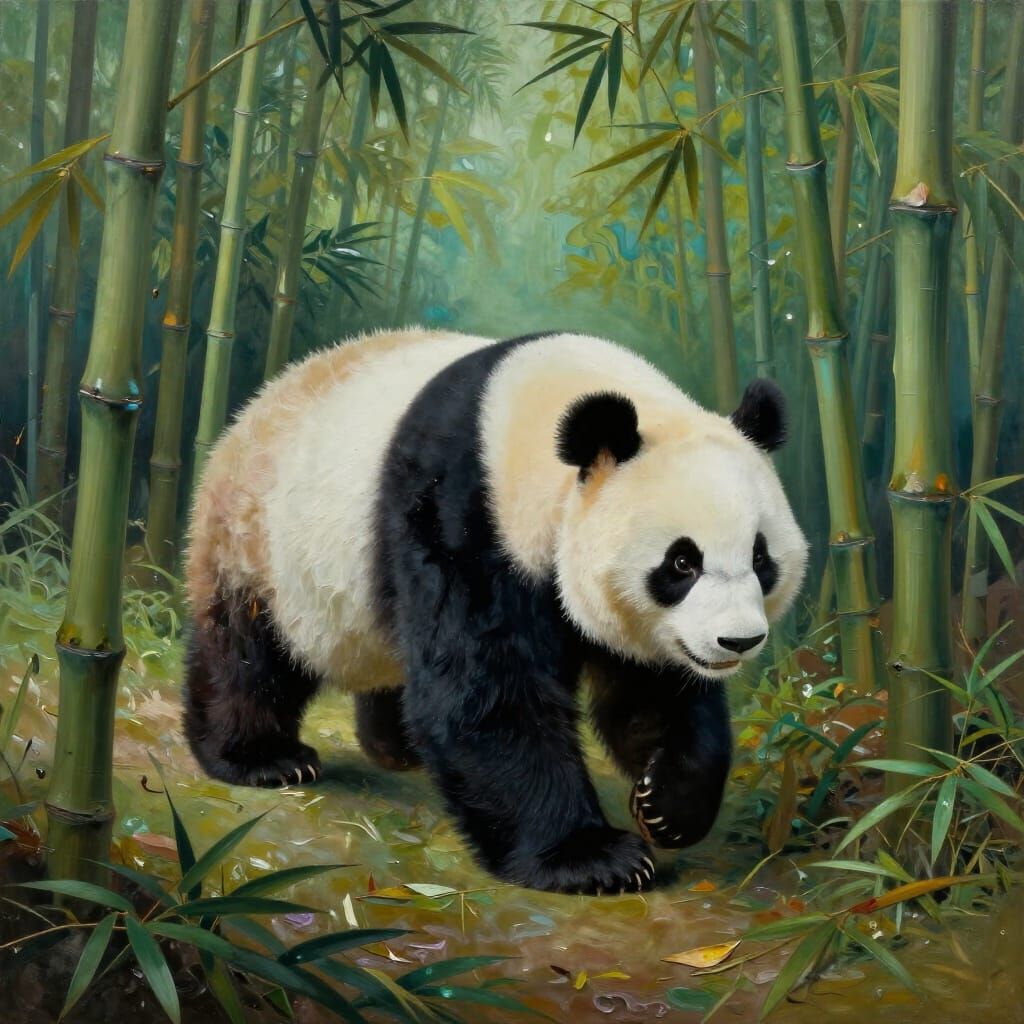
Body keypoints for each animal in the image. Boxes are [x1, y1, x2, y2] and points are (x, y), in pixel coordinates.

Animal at [183, 328, 807, 894]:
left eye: (760, 557)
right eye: (681, 562)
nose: (738, 641)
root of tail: (255, 406)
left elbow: (650, 692)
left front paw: (668, 807)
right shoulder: (458, 514)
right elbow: (486, 691)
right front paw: (593, 859)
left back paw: (396, 747)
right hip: (261, 542)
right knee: (250, 653)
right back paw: (262, 758)